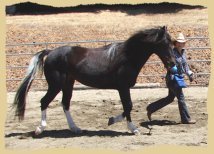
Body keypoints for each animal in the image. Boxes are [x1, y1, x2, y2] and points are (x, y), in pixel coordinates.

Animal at [12, 26, 176, 135]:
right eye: (164, 44)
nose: (172, 63)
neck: (126, 57)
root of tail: (50, 52)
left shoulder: (123, 88)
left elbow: (127, 107)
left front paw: (112, 120)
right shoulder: (123, 87)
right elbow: (128, 106)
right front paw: (132, 128)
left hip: (68, 84)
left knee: (65, 104)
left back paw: (75, 128)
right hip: (56, 85)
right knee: (44, 102)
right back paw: (40, 129)